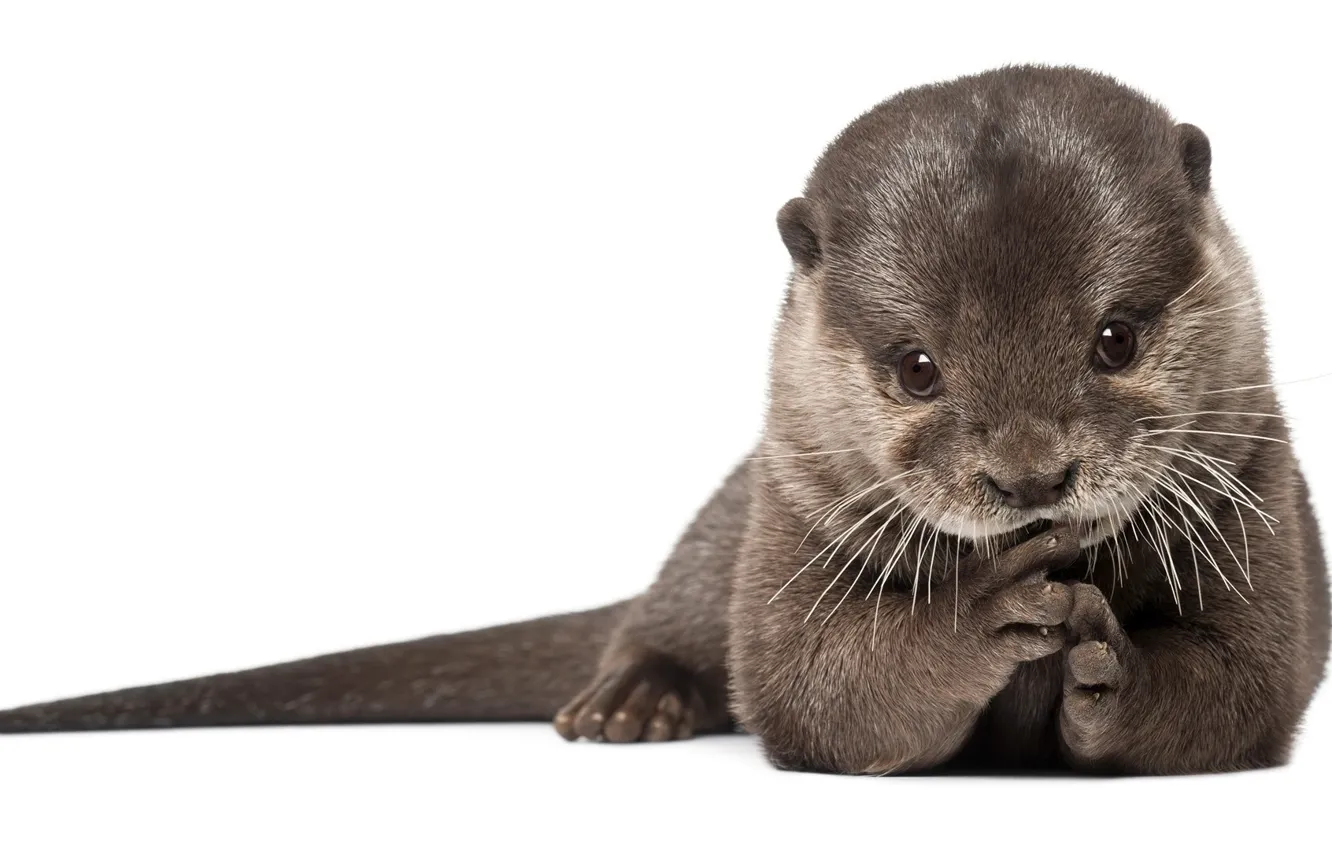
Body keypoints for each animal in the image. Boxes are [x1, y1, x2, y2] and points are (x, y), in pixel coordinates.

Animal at [2, 65, 1327, 775]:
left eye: (1117, 338)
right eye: (916, 366)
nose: (1030, 477)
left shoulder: (1260, 489)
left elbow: (1249, 683)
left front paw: (1112, 659)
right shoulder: (791, 513)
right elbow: (809, 685)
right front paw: (990, 609)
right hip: (726, 525)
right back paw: (628, 703)